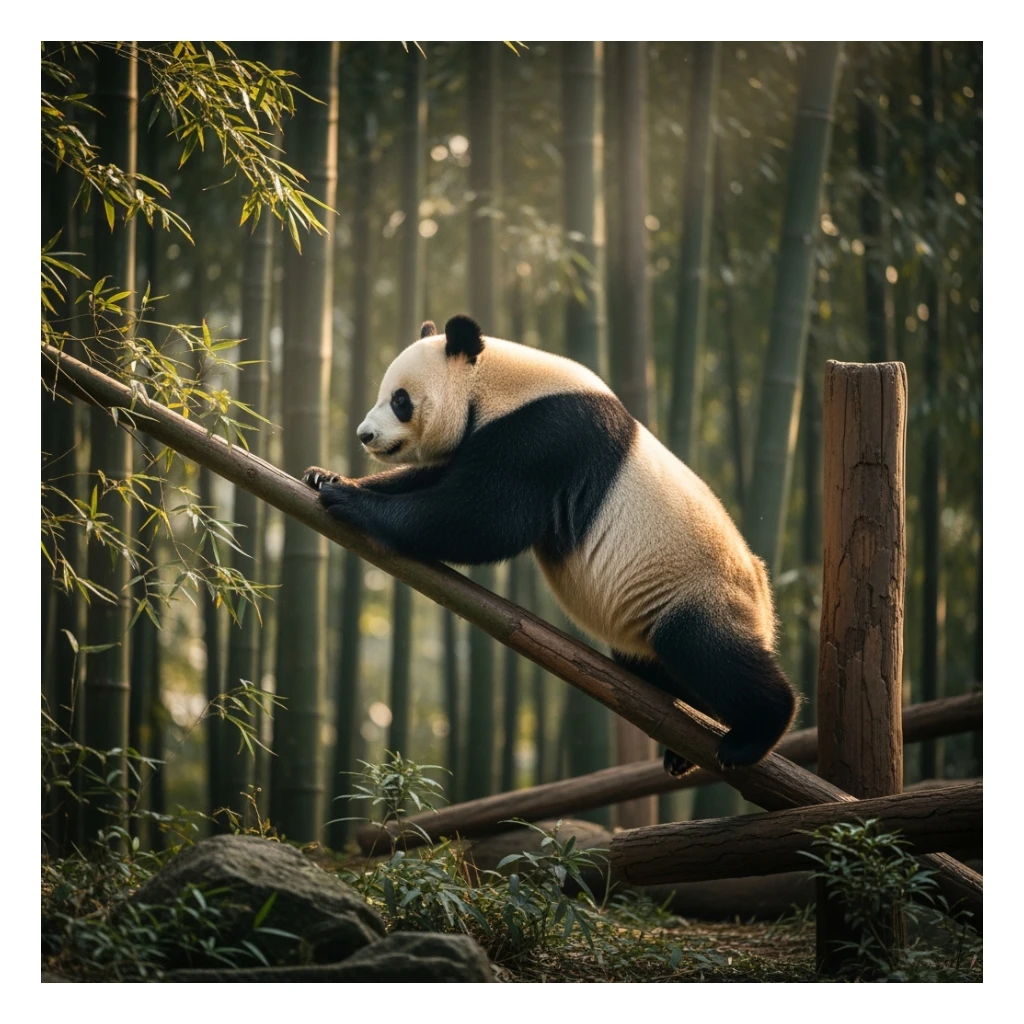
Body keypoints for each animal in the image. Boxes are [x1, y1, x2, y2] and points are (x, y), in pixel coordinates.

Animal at [304, 314, 797, 776]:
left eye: (400, 400)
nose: (364, 435)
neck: (495, 387)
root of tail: (766, 600)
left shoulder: (545, 437)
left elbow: (484, 516)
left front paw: (353, 503)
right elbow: (432, 481)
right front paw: (325, 477)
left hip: (697, 588)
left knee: (708, 651)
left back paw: (754, 734)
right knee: (671, 668)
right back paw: (684, 746)